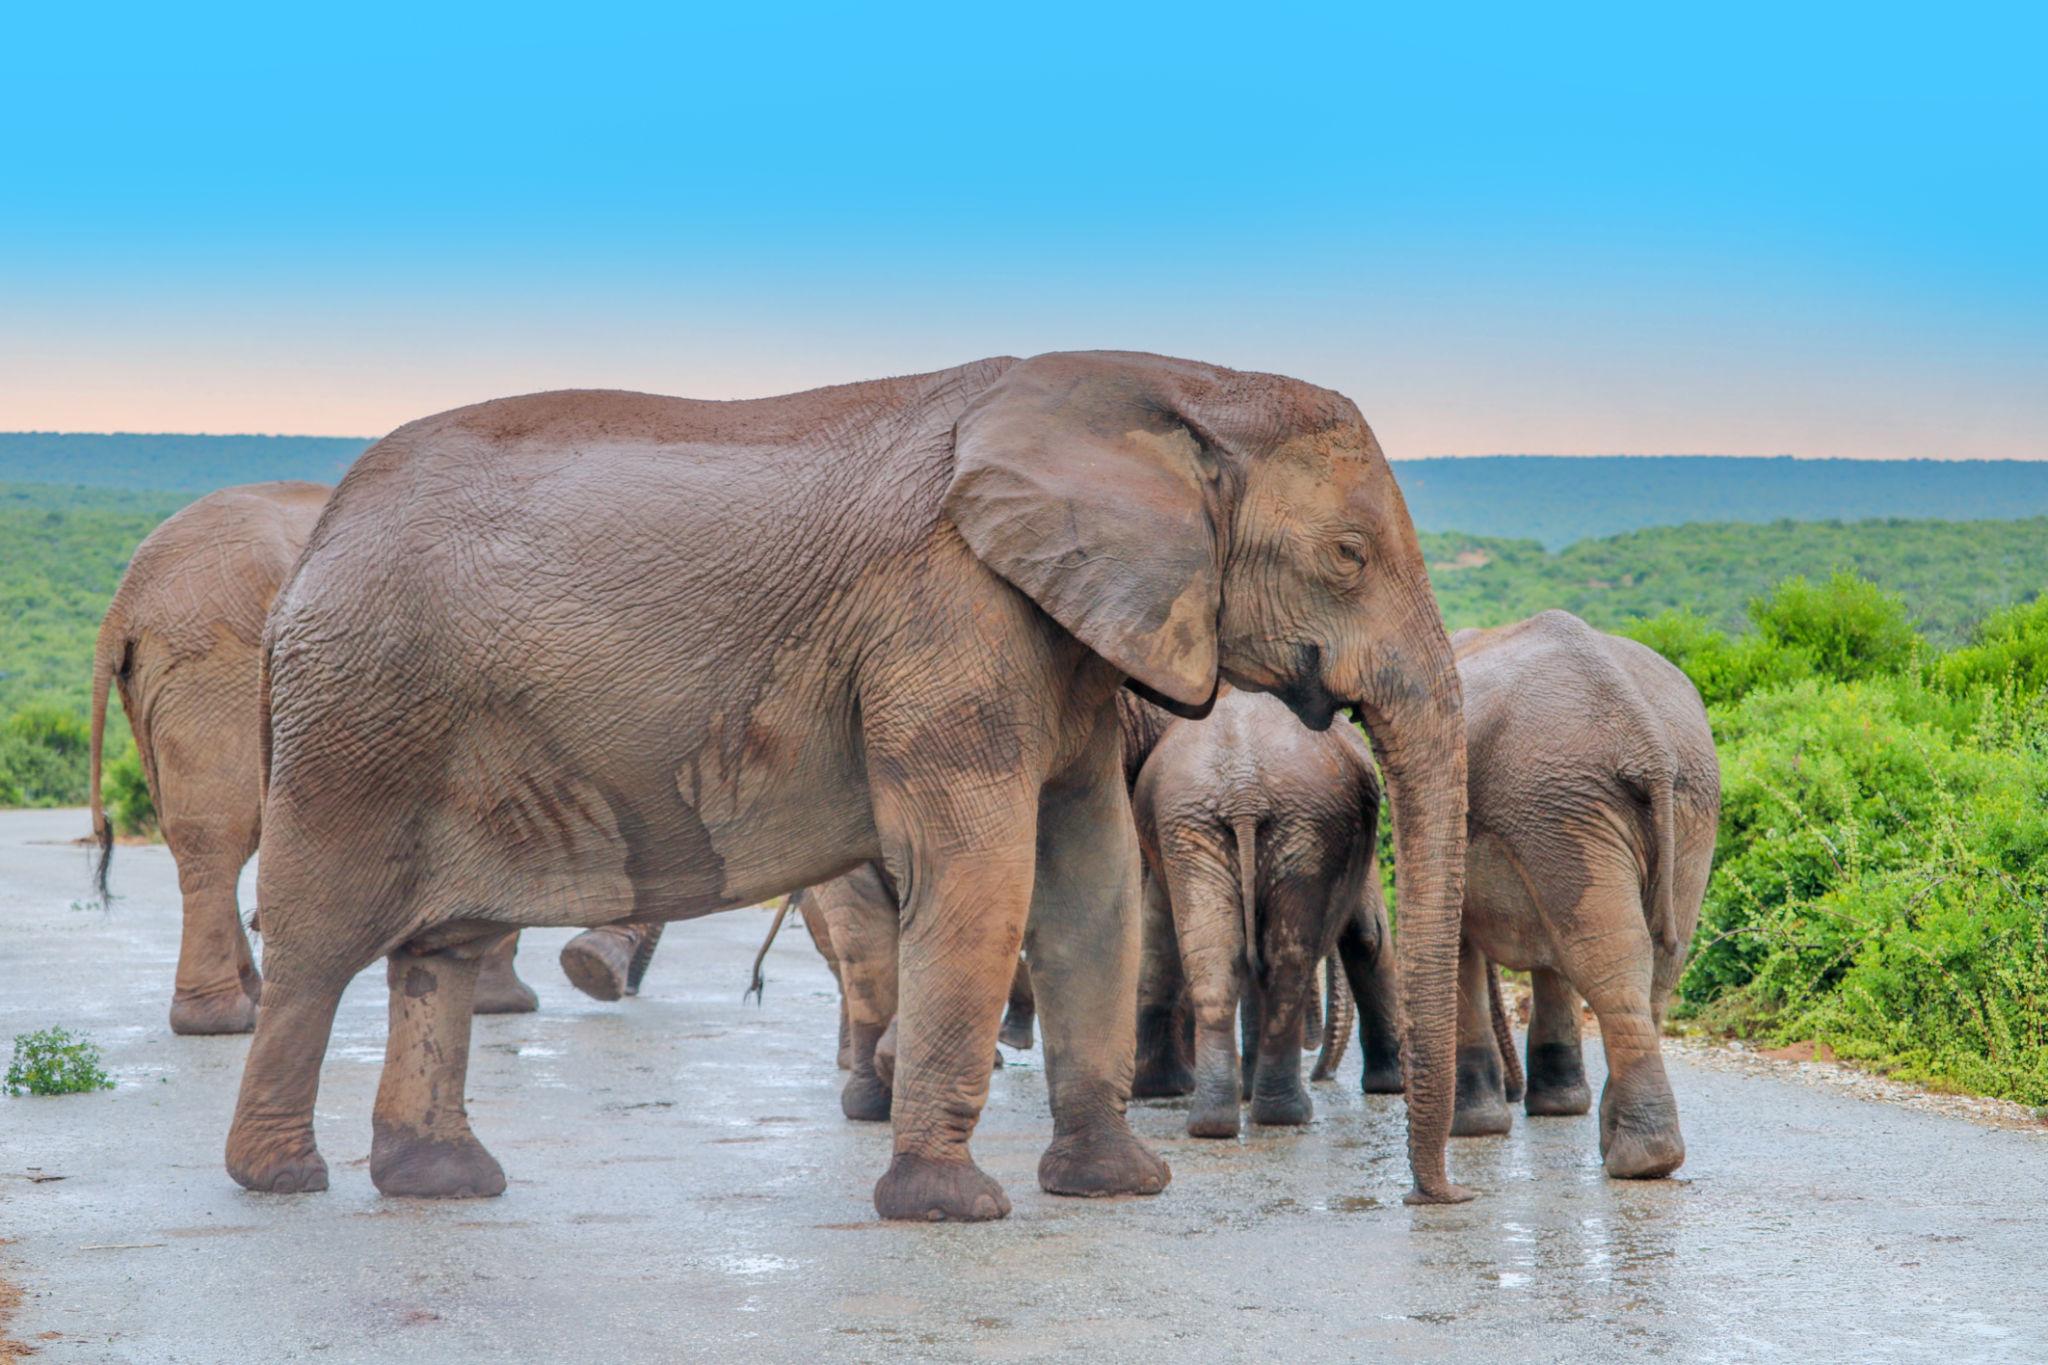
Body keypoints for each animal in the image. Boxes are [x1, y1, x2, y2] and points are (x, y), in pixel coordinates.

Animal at [85, 480, 539, 1032]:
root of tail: (125, 600)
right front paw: (504, 1001)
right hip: (216, 662)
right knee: (218, 832)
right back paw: (227, 1018)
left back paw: (251, 997)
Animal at [1130, 686, 1404, 1137]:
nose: (1324, 1072)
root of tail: (1244, 793)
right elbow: (1369, 935)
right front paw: (1392, 1085)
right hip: (1296, 824)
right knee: (1287, 966)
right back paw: (1287, 1113)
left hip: (1215, 826)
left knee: (1222, 966)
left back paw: (1214, 1121)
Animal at [1447, 611, 1720, 1179]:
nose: (1512, 1092)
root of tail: (1647, 741)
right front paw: (1551, 1109)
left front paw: (1476, 1128)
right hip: (1668, 806)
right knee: (1655, 960)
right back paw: (1640, 1153)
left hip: (1568, 802)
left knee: (1606, 956)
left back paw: (1637, 1159)